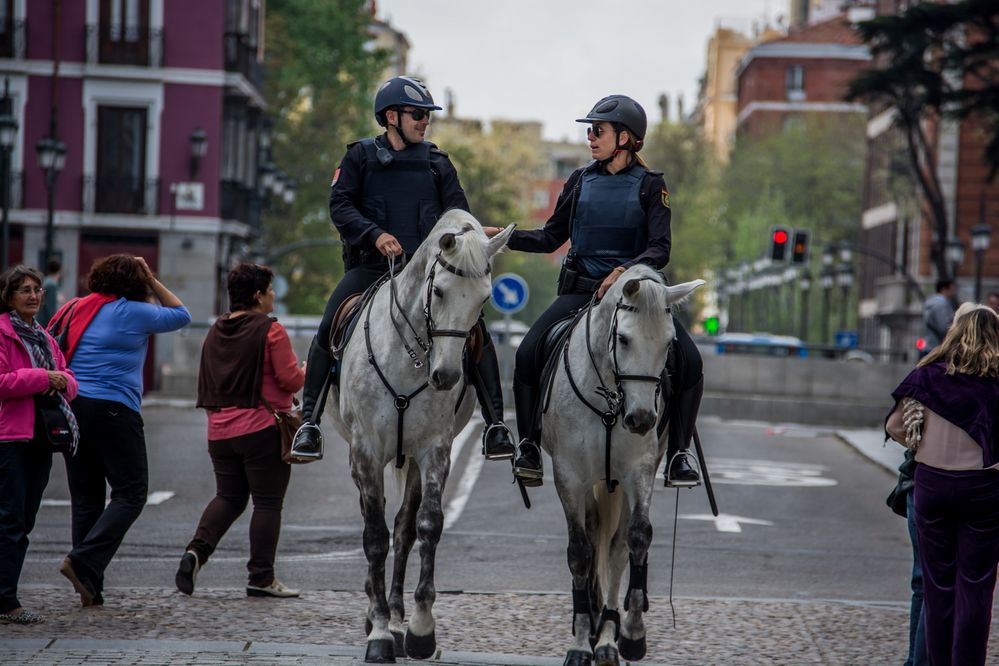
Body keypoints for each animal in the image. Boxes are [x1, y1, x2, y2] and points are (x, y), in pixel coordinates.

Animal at [328, 211, 516, 660]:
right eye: (441, 291)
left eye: (484, 300)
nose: (445, 376)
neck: (409, 356)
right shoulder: (366, 451)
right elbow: (374, 537)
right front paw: (379, 632)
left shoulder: (434, 451)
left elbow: (426, 526)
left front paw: (418, 629)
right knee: (377, 524)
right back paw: (377, 616)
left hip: (411, 459)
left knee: (403, 528)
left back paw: (398, 620)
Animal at [540, 264, 704, 664]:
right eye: (624, 339)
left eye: (668, 344)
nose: (642, 419)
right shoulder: (569, 476)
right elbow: (580, 553)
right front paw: (580, 642)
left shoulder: (639, 471)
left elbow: (634, 539)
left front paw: (626, 635)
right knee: (592, 535)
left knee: (614, 544)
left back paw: (608, 630)